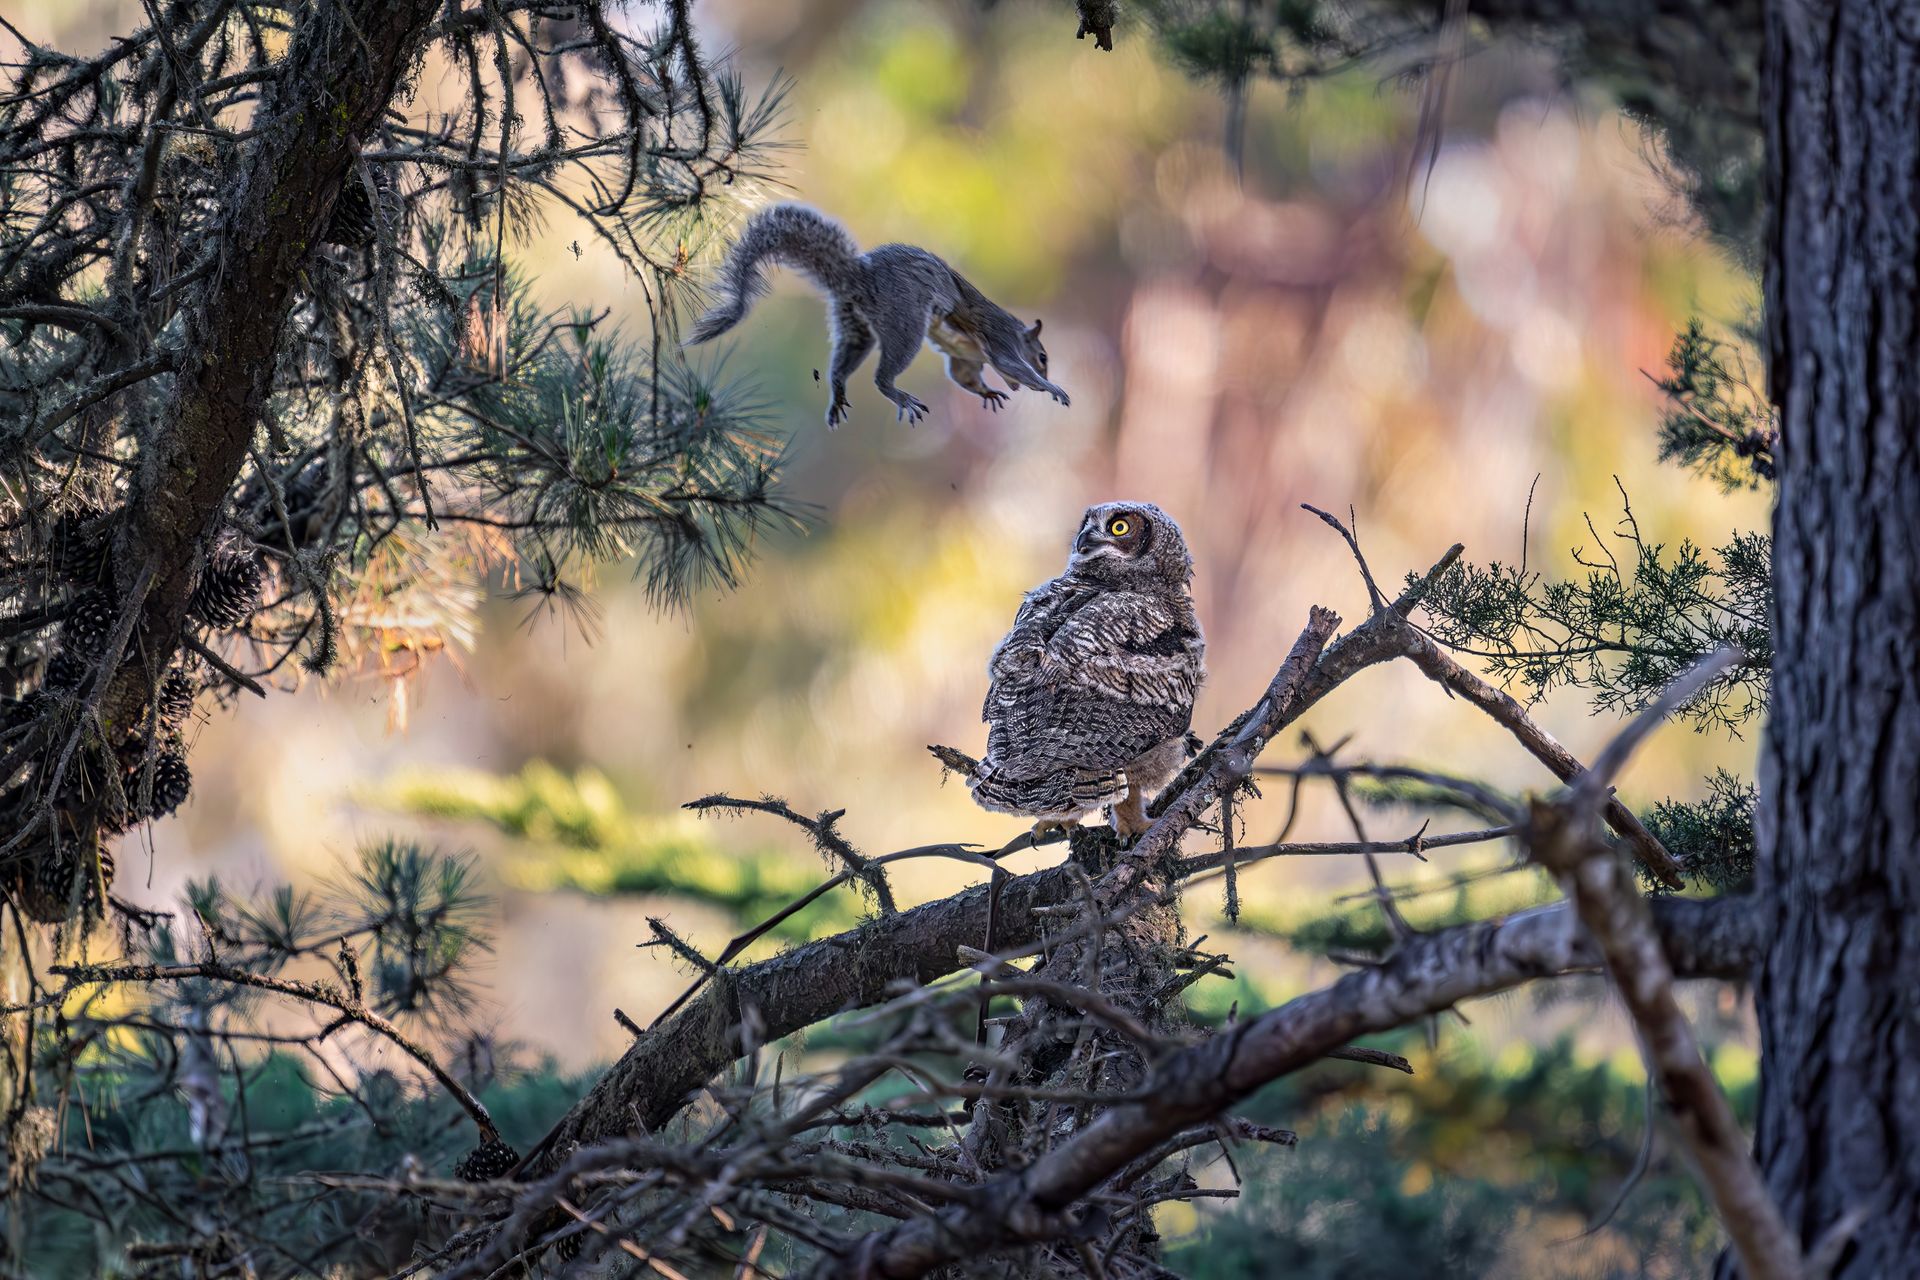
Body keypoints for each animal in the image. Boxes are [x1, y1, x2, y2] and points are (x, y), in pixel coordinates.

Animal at [685, 203, 1070, 427]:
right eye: (1043, 356)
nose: (1045, 372)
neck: (1015, 331)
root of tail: (859, 278)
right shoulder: (1000, 338)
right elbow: (1008, 364)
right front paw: (1053, 388)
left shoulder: (967, 358)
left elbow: (965, 377)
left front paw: (988, 392)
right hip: (906, 325)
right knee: (882, 376)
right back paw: (897, 395)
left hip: (854, 326)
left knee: (843, 362)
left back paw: (837, 394)